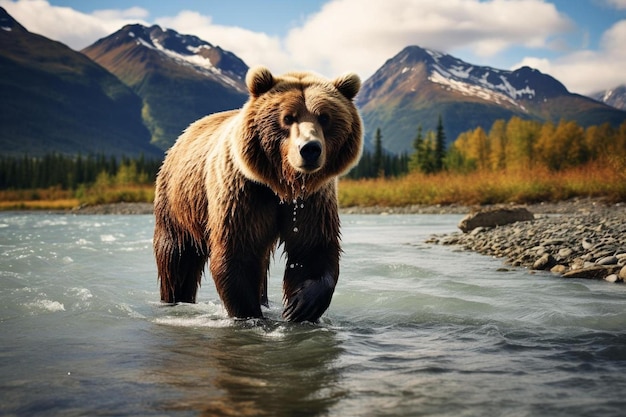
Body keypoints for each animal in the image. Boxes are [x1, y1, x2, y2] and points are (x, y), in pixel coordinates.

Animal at [153, 65, 364, 322]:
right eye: (288, 118)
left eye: (324, 117)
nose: (310, 149)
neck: (283, 185)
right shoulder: (243, 193)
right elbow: (237, 254)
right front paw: (250, 315)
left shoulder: (313, 200)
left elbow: (312, 248)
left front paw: (300, 306)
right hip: (178, 201)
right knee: (177, 257)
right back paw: (174, 299)